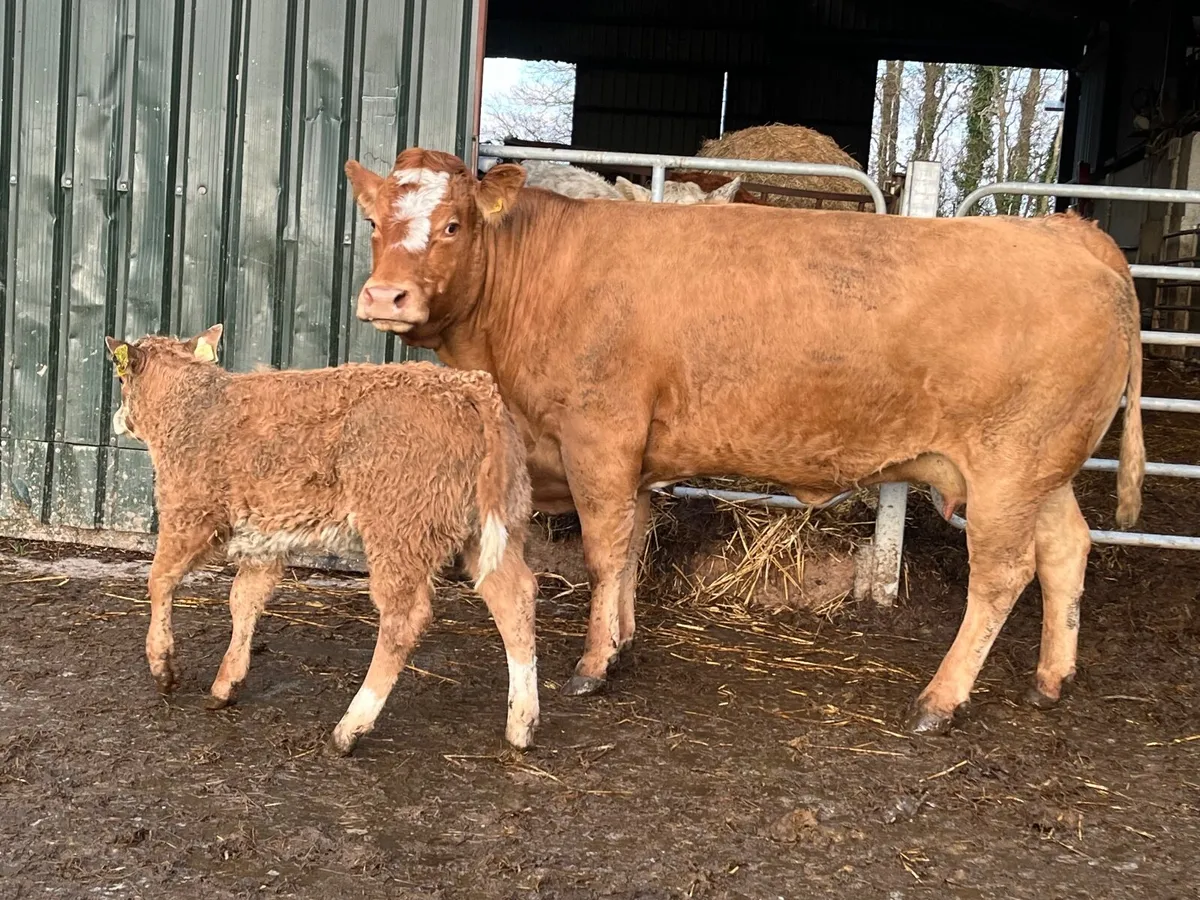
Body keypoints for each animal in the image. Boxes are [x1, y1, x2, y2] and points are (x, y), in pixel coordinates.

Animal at [102, 327, 539, 756]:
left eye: (121, 379)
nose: (119, 419)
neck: (194, 406)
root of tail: (470, 386)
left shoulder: (188, 512)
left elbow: (160, 579)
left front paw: (162, 665)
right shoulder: (265, 537)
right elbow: (244, 599)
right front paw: (226, 684)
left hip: (400, 527)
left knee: (404, 619)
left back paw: (350, 728)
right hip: (495, 523)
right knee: (513, 596)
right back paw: (521, 724)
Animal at [344, 147, 1145, 736]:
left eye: (453, 224)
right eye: (376, 223)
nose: (385, 297)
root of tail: (1067, 231)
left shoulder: (599, 437)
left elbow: (605, 551)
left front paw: (594, 664)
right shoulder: (635, 457)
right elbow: (631, 546)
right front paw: (623, 642)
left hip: (1010, 470)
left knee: (1002, 575)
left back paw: (939, 702)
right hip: (1042, 472)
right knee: (1066, 549)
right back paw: (1050, 679)